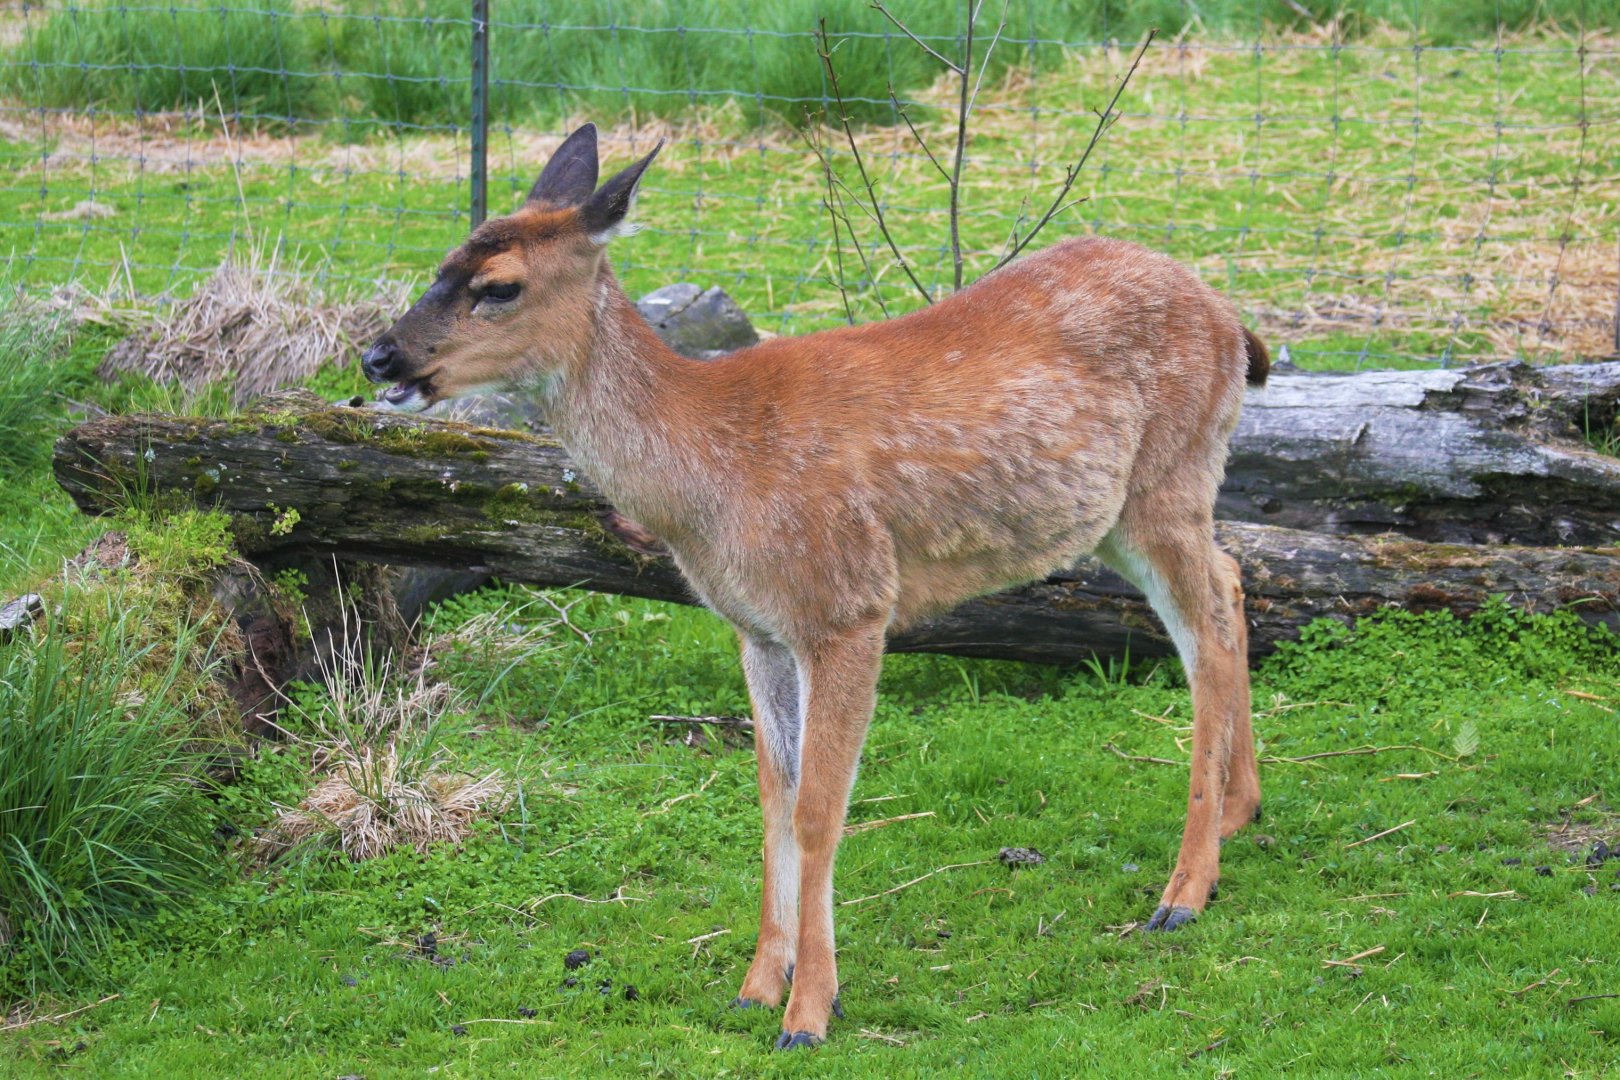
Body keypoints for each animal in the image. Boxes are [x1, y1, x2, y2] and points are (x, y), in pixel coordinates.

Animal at [361, 124, 1268, 1050]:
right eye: (443, 259)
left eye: (499, 286)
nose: (376, 354)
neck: (715, 479)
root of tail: (1231, 318)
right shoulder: (755, 627)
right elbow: (773, 799)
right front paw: (758, 985)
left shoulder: (847, 605)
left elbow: (820, 809)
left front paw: (810, 1010)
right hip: (1125, 510)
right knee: (1232, 585)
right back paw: (1240, 812)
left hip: (1170, 474)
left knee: (1207, 632)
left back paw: (1183, 890)